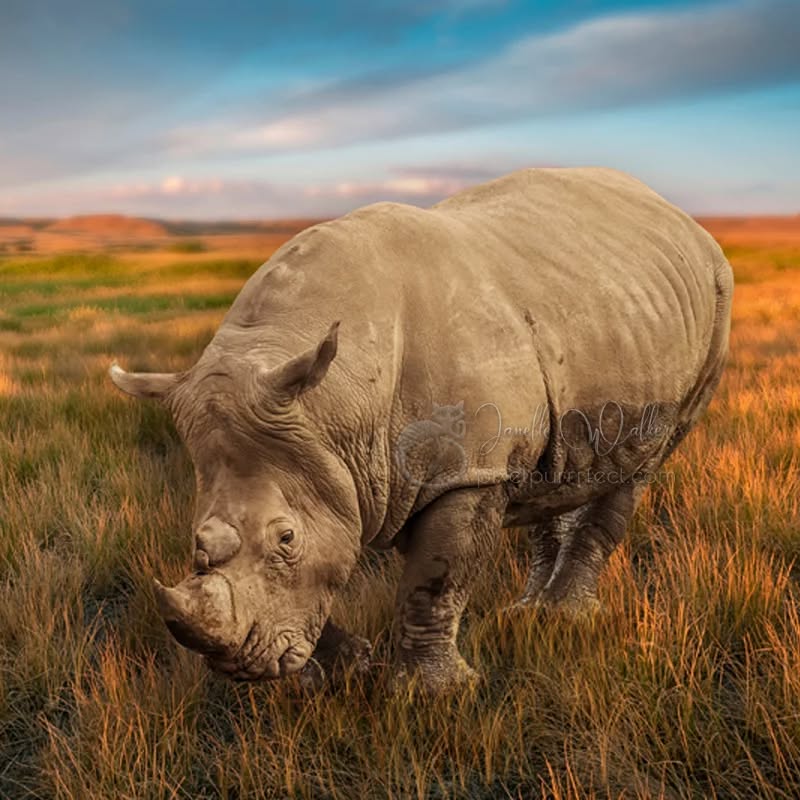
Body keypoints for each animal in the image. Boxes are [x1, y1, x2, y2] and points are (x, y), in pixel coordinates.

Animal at [110, 168, 733, 691]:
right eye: (196, 541)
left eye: (285, 538)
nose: (241, 667)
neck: (337, 406)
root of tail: (679, 216)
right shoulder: (326, 457)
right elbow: (330, 559)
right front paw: (346, 667)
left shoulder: (467, 468)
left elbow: (433, 580)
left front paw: (433, 694)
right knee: (556, 470)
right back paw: (527, 611)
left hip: (715, 298)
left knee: (642, 467)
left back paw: (561, 619)